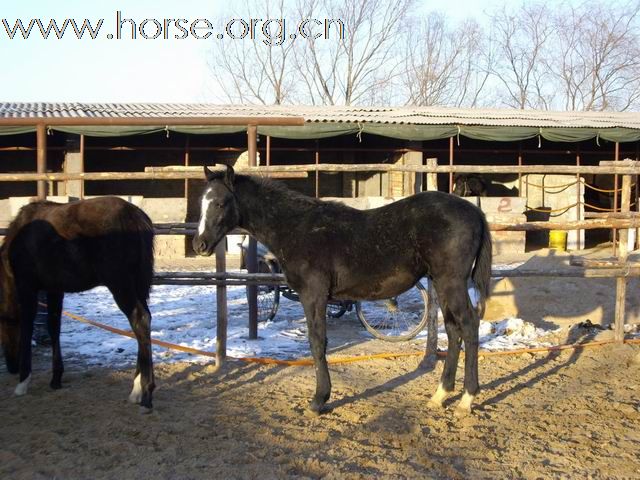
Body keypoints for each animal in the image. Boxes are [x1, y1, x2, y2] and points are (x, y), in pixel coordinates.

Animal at [0, 197, 156, 410]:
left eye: (2, 325)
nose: (12, 366)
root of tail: (134, 216)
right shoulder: (54, 289)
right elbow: (53, 326)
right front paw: (56, 378)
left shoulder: (27, 287)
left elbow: (27, 329)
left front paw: (23, 382)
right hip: (138, 284)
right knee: (143, 325)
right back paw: (137, 389)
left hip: (120, 283)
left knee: (140, 320)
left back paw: (146, 392)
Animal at [192, 166, 492, 416]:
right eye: (201, 202)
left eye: (220, 202)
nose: (200, 244)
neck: (295, 228)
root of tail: (475, 211)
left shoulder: (313, 295)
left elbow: (317, 342)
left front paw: (319, 400)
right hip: (442, 283)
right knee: (453, 329)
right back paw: (441, 394)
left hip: (451, 281)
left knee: (468, 324)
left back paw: (467, 399)